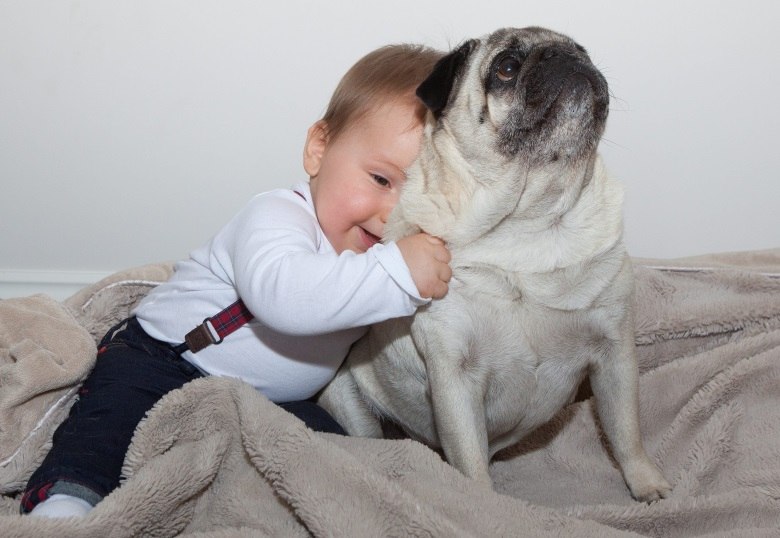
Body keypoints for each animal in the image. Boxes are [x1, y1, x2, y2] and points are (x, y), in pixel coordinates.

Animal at [316, 27, 672, 500]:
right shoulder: (455, 378)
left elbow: (625, 429)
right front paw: (484, 507)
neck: (531, 220)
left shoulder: (614, 350)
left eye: (581, 50)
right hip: (347, 398)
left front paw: (645, 482)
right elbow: (471, 464)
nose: (562, 56)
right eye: (506, 67)